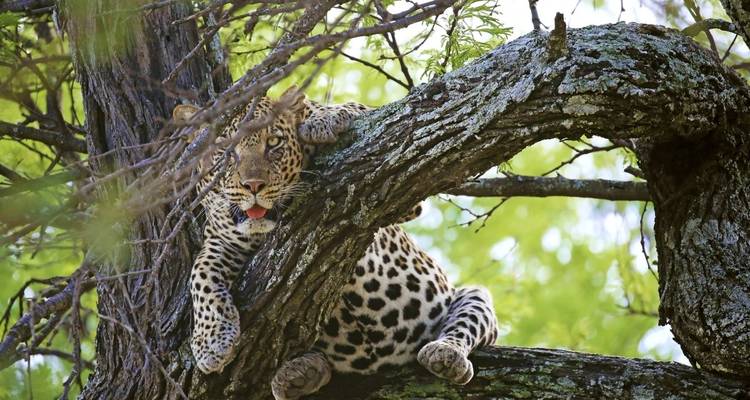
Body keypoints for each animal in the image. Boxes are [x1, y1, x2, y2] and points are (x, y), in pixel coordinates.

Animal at [173, 87, 500, 400]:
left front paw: (322, 121)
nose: (253, 186)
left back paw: (446, 354)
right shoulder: (223, 240)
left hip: (472, 296)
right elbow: (200, 273)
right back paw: (298, 374)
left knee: (464, 328)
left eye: (274, 142)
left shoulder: (408, 202)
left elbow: (352, 107)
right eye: (223, 151)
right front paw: (211, 342)